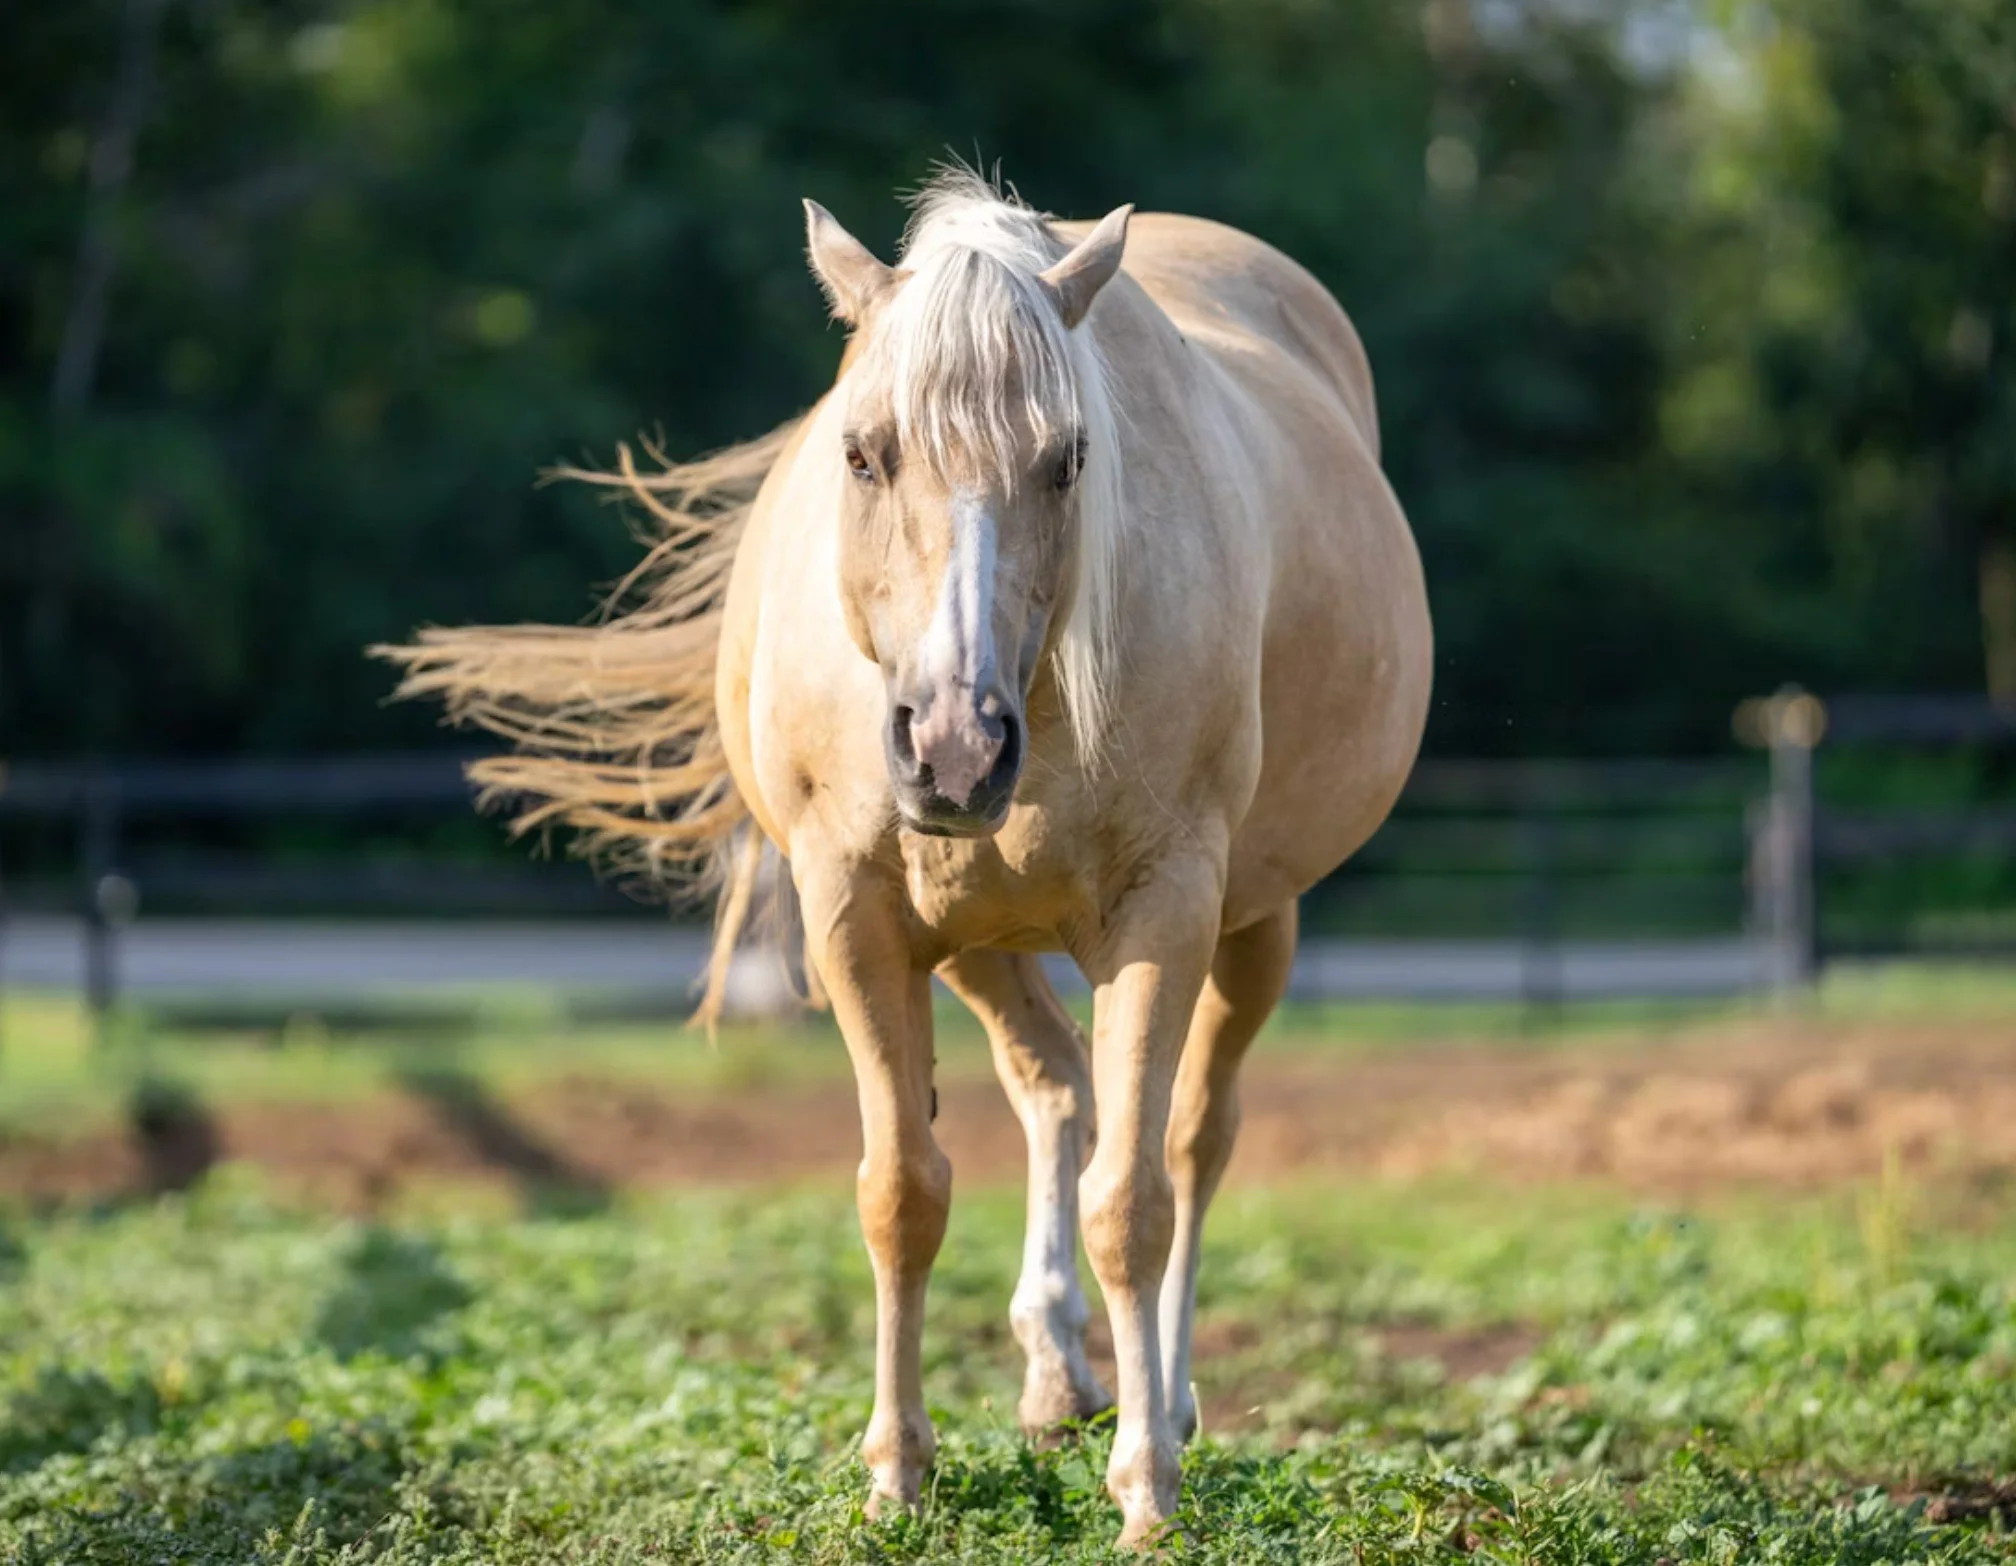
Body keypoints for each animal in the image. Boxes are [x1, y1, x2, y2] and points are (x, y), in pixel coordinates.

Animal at [378, 171, 1431, 1547]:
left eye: (1069, 458)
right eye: (863, 451)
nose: (954, 746)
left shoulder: (1165, 914)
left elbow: (1132, 1203)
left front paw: (1147, 1490)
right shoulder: (860, 917)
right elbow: (904, 1193)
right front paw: (896, 1475)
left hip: (1256, 922)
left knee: (1194, 1140)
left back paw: (1171, 1394)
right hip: (981, 937)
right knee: (1056, 1086)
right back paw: (1054, 1372)